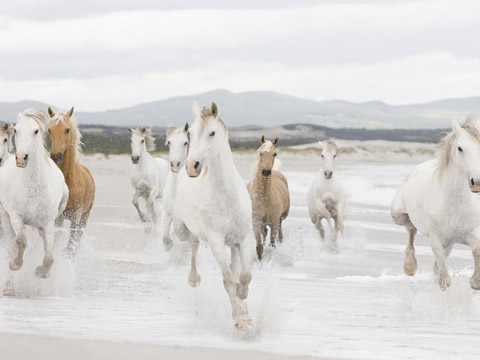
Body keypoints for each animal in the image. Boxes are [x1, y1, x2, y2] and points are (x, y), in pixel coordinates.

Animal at [0, 107, 68, 296]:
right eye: (16, 130)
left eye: (36, 131)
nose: (21, 158)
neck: (33, 186)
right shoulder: (16, 217)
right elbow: (21, 242)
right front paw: (15, 264)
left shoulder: (48, 221)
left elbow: (50, 254)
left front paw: (42, 273)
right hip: (6, 218)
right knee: (10, 245)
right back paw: (9, 286)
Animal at [47, 105, 95, 258]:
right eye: (49, 129)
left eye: (67, 129)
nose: (55, 155)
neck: (69, 181)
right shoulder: (58, 217)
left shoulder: (76, 217)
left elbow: (70, 246)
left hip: (85, 217)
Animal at [173, 100, 255, 328]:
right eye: (190, 134)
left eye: (212, 133)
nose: (192, 166)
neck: (226, 196)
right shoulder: (216, 241)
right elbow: (228, 281)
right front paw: (239, 319)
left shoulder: (244, 237)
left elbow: (244, 275)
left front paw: (244, 302)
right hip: (182, 230)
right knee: (193, 244)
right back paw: (193, 279)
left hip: (234, 243)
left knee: (236, 267)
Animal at [394, 116, 480, 292]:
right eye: (460, 148)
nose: (476, 182)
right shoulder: (436, 238)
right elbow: (441, 263)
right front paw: (443, 282)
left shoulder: (471, 231)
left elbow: (476, 249)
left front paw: (475, 282)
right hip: (397, 215)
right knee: (411, 230)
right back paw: (410, 266)